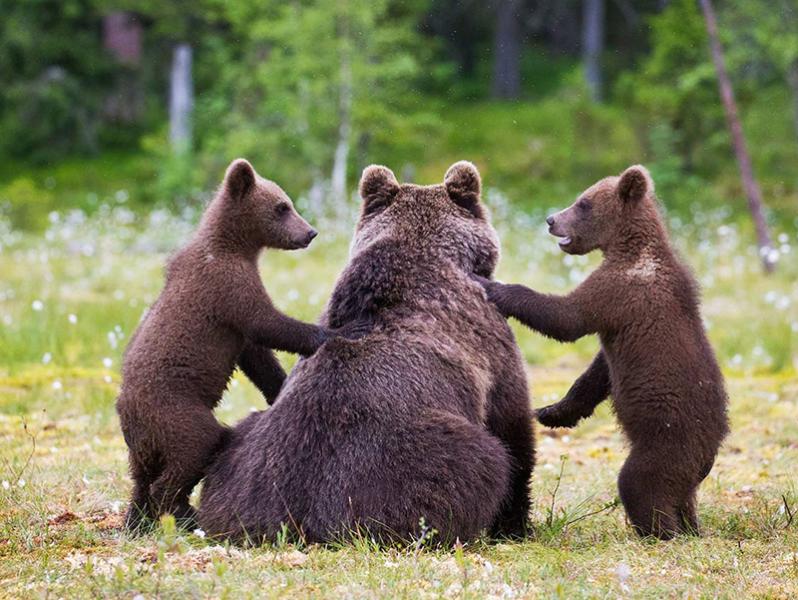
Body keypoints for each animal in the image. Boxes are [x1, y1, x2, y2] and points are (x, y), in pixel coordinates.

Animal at [199, 162, 536, 548]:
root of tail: (297, 524)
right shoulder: (489, 342)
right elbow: (512, 424)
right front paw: (516, 524)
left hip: (242, 462)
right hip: (399, 462)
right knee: (473, 463)